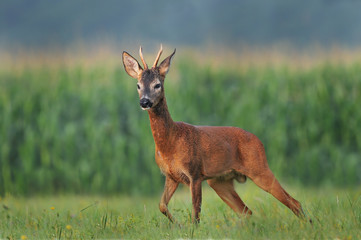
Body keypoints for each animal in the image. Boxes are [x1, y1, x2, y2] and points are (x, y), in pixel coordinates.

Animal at [122, 45, 306, 223]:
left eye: (157, 85)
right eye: (138, 85)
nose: (144, 102)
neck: (170, 143)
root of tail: (259, 141)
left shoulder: (195, 172)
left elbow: (195, 213)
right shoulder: (171, 176)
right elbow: (161, 205)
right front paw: (177, 225)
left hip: (259, 169)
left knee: (294, 202)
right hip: (220, 181)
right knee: (246, 211)